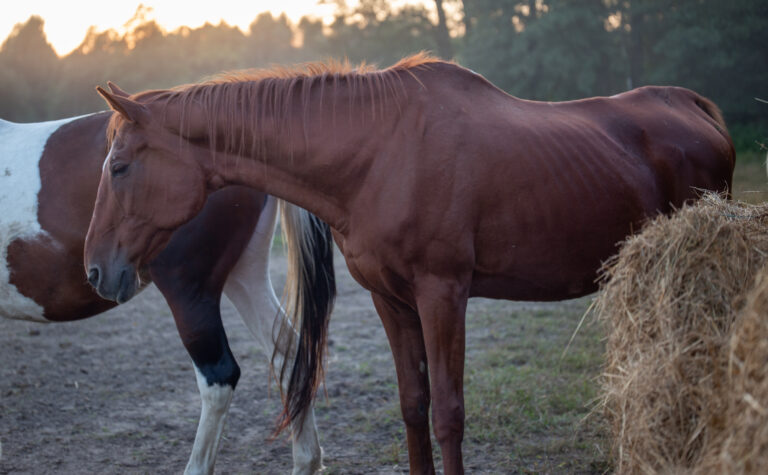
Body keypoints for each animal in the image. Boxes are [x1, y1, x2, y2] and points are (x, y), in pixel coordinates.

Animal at [0, 110, 334, 474]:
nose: (96, 270)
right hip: (245, 275)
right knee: (289, 352)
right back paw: (306, 459)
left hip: (190, 294)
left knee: (219, 377)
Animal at [83, 54, 735, 474]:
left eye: (119, 166)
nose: (94, 271)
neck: (378, 152)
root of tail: (695, 108)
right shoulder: (391, 300)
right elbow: (414, 406)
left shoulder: (442, 294)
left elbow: (448, 413)